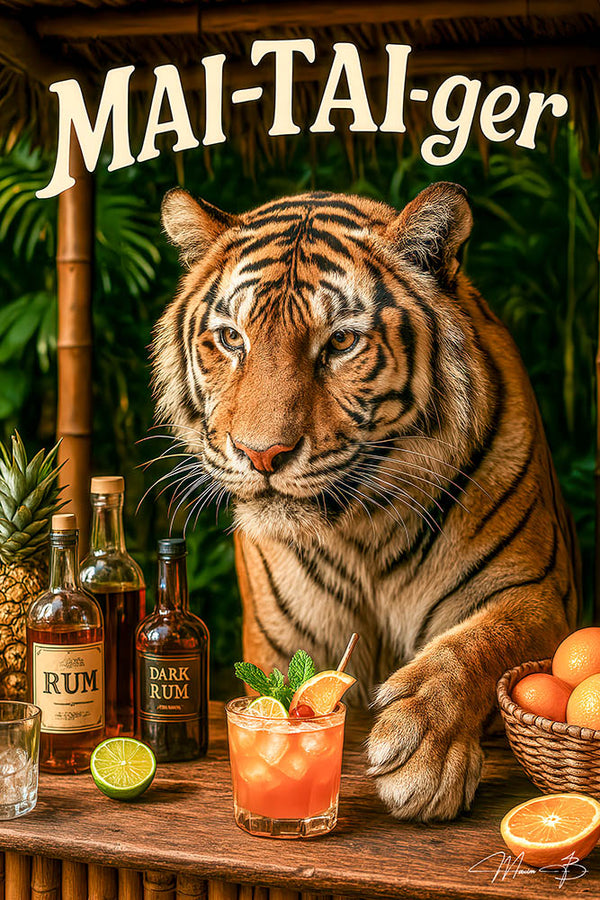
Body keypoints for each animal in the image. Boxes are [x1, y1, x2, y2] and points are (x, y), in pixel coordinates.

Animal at [152, 182, 580, 822]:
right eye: (231, 338)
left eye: (341, 342)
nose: (261, 454)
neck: (363, 525)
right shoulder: (279, 642)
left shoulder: (536, 594)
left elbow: (479, 644)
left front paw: (422, 742)